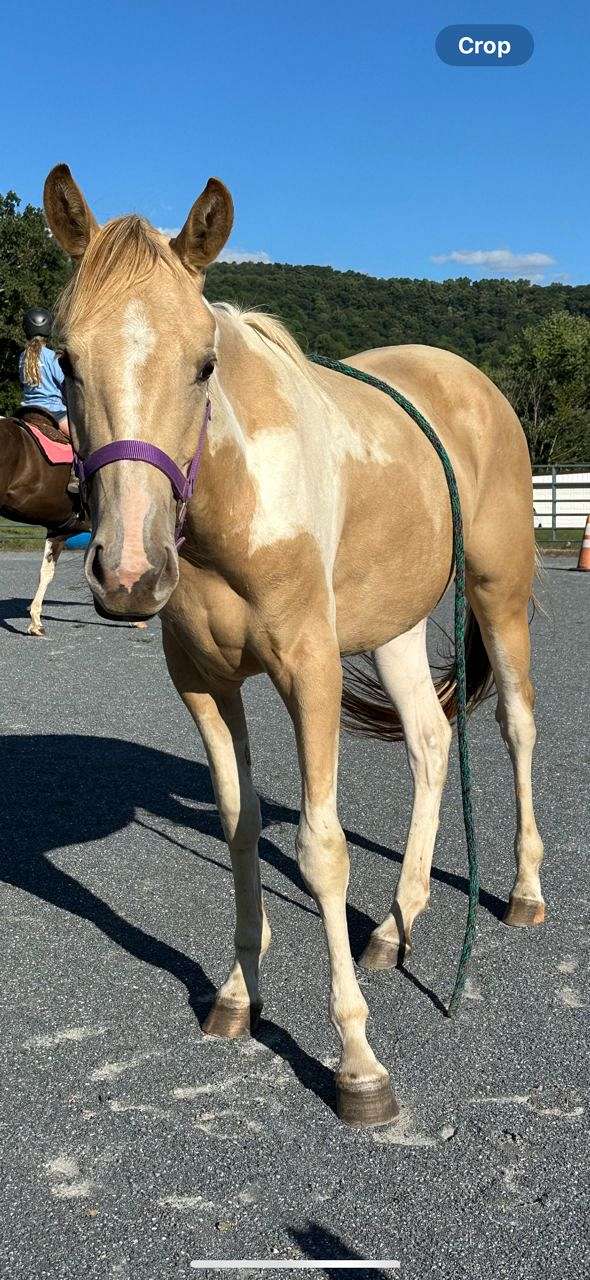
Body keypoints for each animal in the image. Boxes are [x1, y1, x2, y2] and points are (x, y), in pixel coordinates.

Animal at [43, 162, 545, 1131]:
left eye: (204, 362)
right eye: (67, 360)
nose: (128, 574)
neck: (234, 502)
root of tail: (472, 383)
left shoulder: (309, 671)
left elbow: (321, 849)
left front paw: (357, 1064)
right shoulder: (203, 682)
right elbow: (240, 828)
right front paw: (239, 995)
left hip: (500, 597)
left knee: (515, 728)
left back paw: (527, 893)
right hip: (392, 627)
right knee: (432, 743)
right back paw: (395, 926)